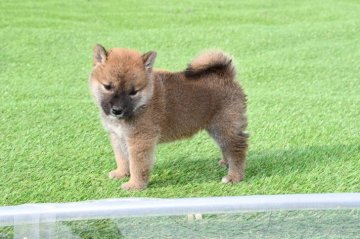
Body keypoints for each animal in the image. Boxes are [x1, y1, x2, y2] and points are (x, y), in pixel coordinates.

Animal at [89, 44, 248, 190]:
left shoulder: (140, 140)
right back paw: (225, 163)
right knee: (224, 146)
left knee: (237, 149)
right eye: (108, 87)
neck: (143, 102)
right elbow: (121, 158)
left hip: (225, 126)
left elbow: (137, 165)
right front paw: (121, 173)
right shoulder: (117, 136)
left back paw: (234, 176)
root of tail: (226, 75)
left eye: (133, 92)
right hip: (216, 128)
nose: (117, 110)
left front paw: (135, 185)